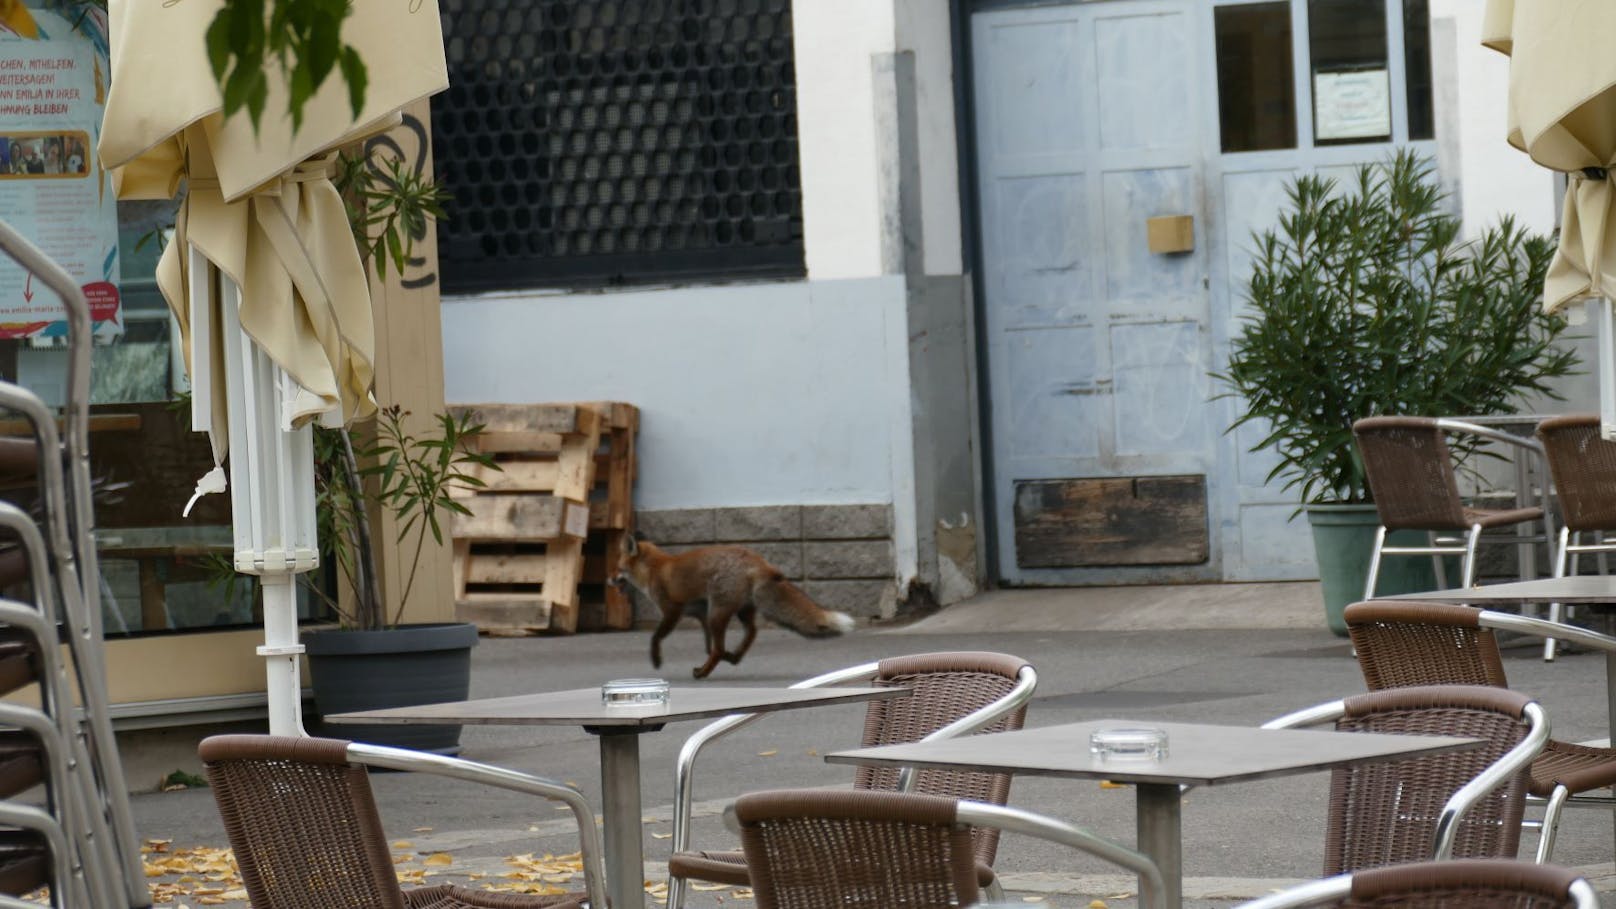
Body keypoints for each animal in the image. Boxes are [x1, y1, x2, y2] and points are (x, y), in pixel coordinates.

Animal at [607, 533, 859, 676]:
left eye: (618, 568)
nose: (608, 580)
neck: (655, 570)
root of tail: (758, 560)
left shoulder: (673, 610)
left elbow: (656, 637)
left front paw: (656, 659)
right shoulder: (700, 614)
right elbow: (708, 645)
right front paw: (727, 655)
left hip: (718, 613)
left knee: (721, 647)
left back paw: (704, 672)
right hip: (736, 611)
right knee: (751, 632)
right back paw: (733, 656)